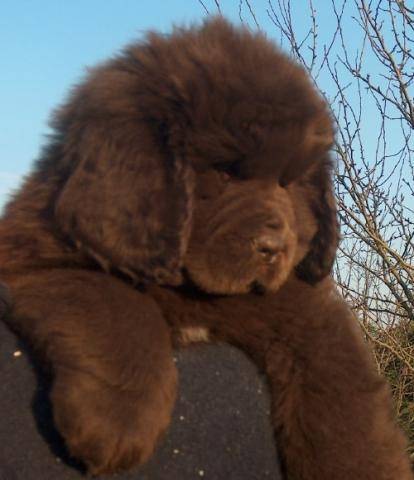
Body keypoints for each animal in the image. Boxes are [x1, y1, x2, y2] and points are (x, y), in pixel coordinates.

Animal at [0, 16, 412, 478]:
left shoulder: (306, 310)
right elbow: (113, 299)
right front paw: (116, 419)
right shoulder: (31, 257)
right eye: (224, 172)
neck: (194, 289)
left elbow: (345, 405)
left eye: (287, 183)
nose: (272, 246)